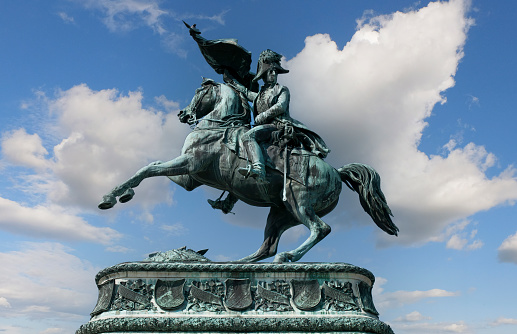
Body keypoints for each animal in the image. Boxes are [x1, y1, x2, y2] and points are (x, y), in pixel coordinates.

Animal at [98, 79, 400, 264]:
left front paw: (112, 196)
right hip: (280, 213)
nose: (183, 114)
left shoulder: (189, 164)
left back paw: (288, 257)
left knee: (318, 229)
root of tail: (336, 172)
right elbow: (152, 167)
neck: (216, 125)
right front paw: (122, 193)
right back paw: (235, 263)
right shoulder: (189, 178)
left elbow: (149, 168)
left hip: (299, 203)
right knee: (268, 246)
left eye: (199, 91)